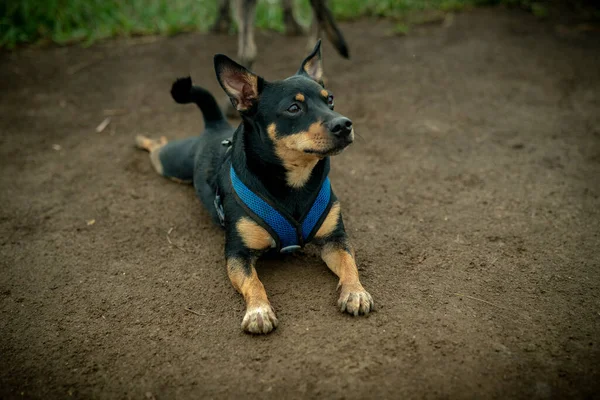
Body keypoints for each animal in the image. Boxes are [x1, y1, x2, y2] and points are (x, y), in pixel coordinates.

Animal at [135, 41, 370, 334]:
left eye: (330, 100)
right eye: (294, 108)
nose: (344, 124)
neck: (294, 182)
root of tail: (215, 125)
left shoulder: (335, 239)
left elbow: (350, 264)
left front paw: (355, 292)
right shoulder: (237, 253)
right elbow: (253, 281)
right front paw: (258, 310)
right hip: (170, 162)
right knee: (157, 145)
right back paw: (142, 139)